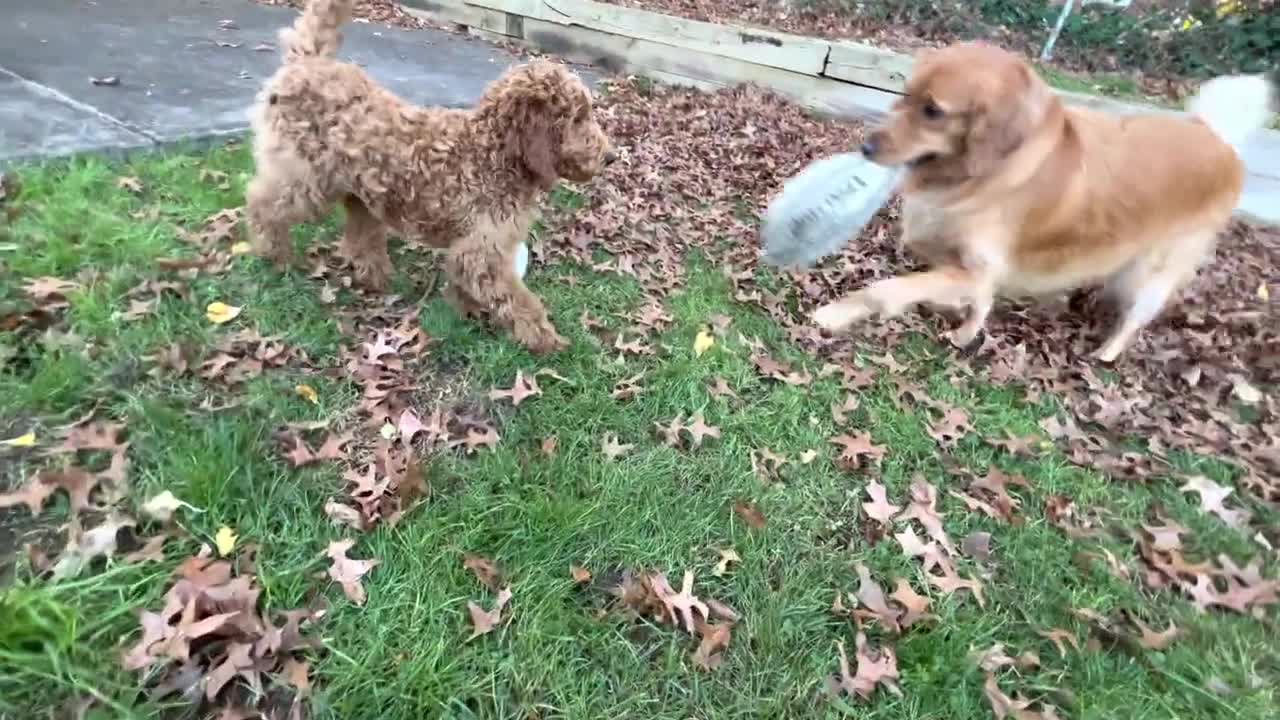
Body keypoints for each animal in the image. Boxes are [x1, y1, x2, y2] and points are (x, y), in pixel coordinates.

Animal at [248, 0, 614, 353]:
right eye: (578, 117)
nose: (609, 157)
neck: (493, 153)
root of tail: (306, 63)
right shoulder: (482, 250)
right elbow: (519, 300)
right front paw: (544, 339)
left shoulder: (473, 246)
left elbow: (466, 283)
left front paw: (465, 310)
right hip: (306, 176)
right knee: (262, 203)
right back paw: (275, 253)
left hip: (359, 190)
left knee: (358, 236)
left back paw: (375, 277)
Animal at [814, 40, 1274, 358]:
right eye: (906, 95)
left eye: (933, 112)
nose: (865, 148)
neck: (988, 172)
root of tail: (1216, 136)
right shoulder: (965, 263)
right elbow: (975, 301)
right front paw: (965, 333)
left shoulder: (978, 269)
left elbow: (888, 288)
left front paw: (836, 313)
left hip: (1154, 272)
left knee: (1136, 317)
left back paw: (1106, 353)